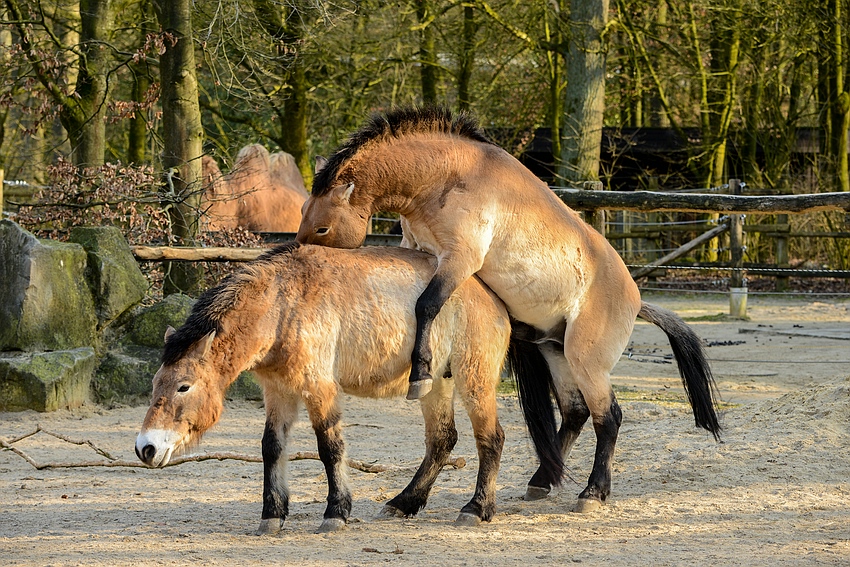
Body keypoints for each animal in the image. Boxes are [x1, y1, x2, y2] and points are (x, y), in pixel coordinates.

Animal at [136, 242, 560, 536]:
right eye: (156, 383)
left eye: (184, 386)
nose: (146, 448)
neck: (283, 304)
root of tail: (494, 296)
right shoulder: (279, 392)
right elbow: (272, 448)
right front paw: (272, 516)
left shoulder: (319, 388)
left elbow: (330, 448)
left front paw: (335, 513)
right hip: (436, 384)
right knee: (442, 440)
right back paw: (403, 503)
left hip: (475, 380)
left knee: (491, 437)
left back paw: (476, 509)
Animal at [294, 105, 720, 510]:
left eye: (322, 228)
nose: (301, 257)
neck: (448, 175)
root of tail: (636, 300)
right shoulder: (416, 248)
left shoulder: (459, 260)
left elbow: (426, 304)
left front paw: (421, 372)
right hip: (555, 352)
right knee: (576, 413)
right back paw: (541, 481)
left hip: (585, 362)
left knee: (608, 417)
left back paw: (593, 492)